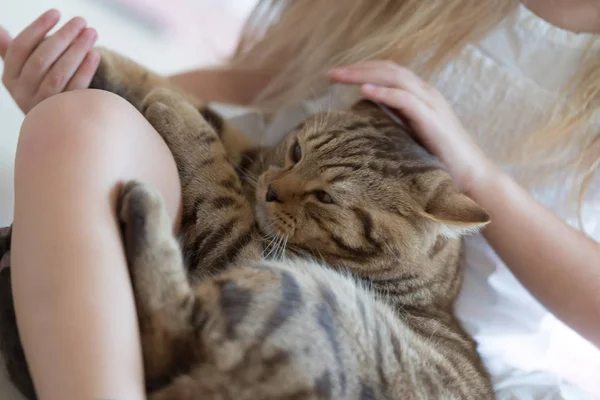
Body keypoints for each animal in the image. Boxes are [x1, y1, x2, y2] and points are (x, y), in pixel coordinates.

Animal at [0, 48, 494, 398]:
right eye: (296, 151)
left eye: (325, 197)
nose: (272, 191)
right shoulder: (254, 162)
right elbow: (207, 117)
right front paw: (96, 57)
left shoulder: (240, 245)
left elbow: (210, 164)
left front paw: (174, 111)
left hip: (302, 296)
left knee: (167, 331)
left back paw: (143, 206)